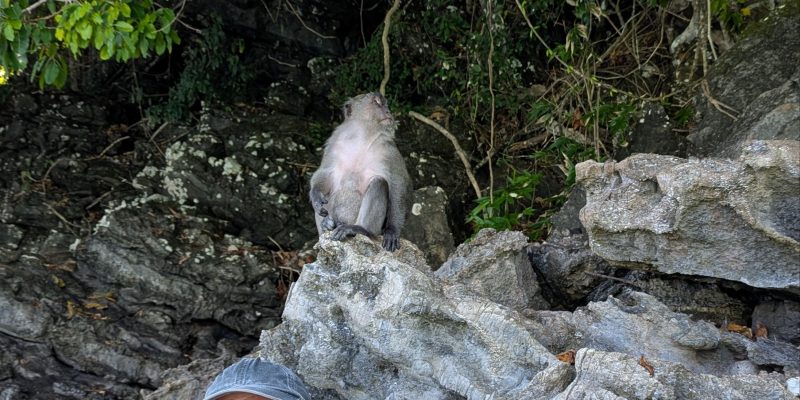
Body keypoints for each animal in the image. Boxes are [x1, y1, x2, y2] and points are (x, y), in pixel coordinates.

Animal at [309, 92, 412, 252]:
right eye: (377, 102)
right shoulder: (334, 142)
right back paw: (327, 225)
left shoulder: (390, 150)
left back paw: (360, 230)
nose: (388, 111)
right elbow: (325, 173)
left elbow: (398, 184)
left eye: (385, 104)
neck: (363, 136)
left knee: (378, 183)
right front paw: (315, 195)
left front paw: (392, 230)